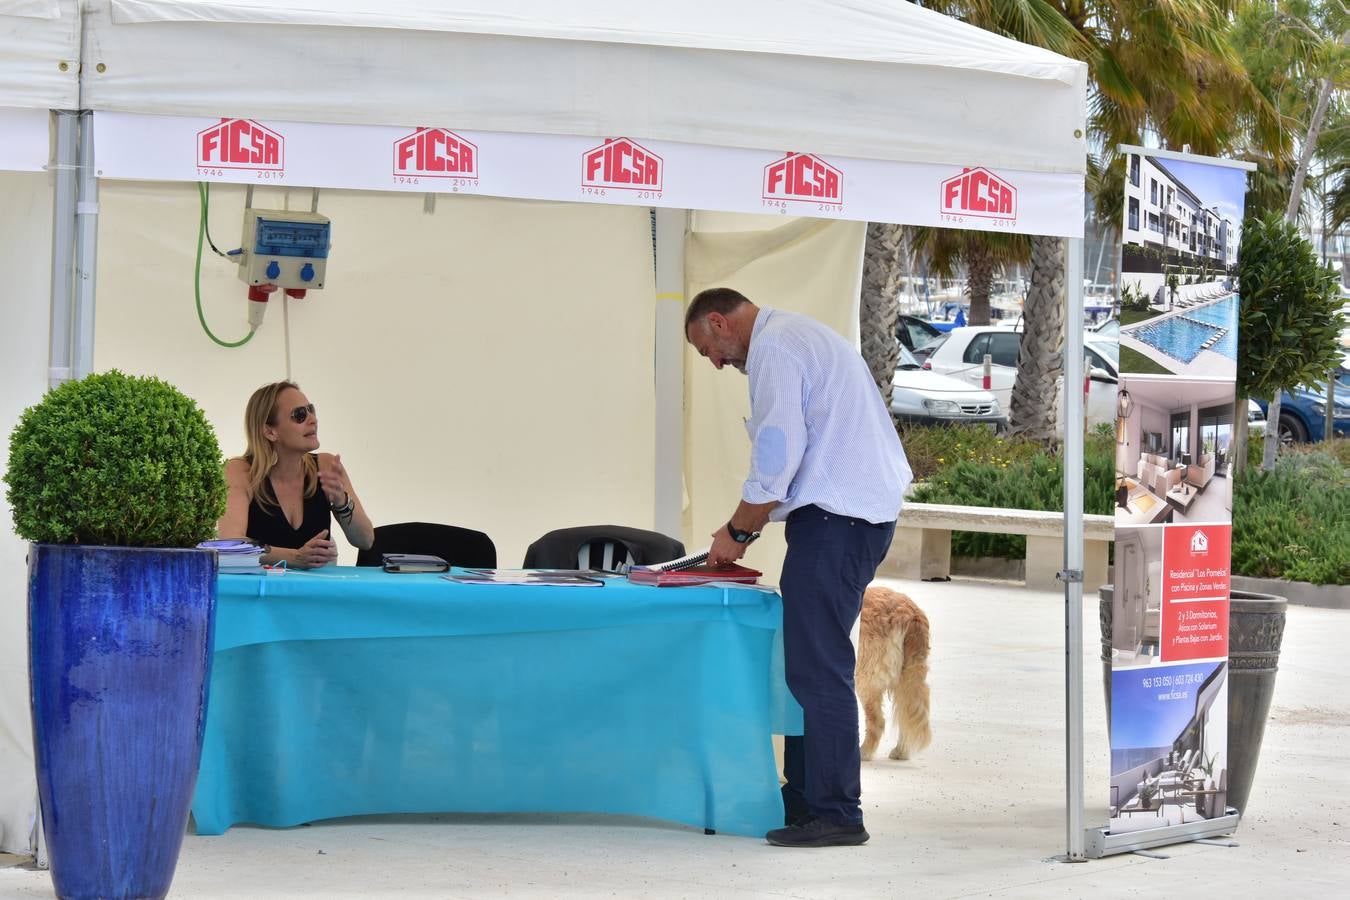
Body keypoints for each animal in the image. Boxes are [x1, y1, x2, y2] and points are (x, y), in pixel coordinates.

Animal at [853, 585, 928, 761]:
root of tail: (912, 613)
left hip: (866, 678)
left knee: (878, 721)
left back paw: (864, 752)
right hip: (907, 678)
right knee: (905, 713)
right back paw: (901, 751)